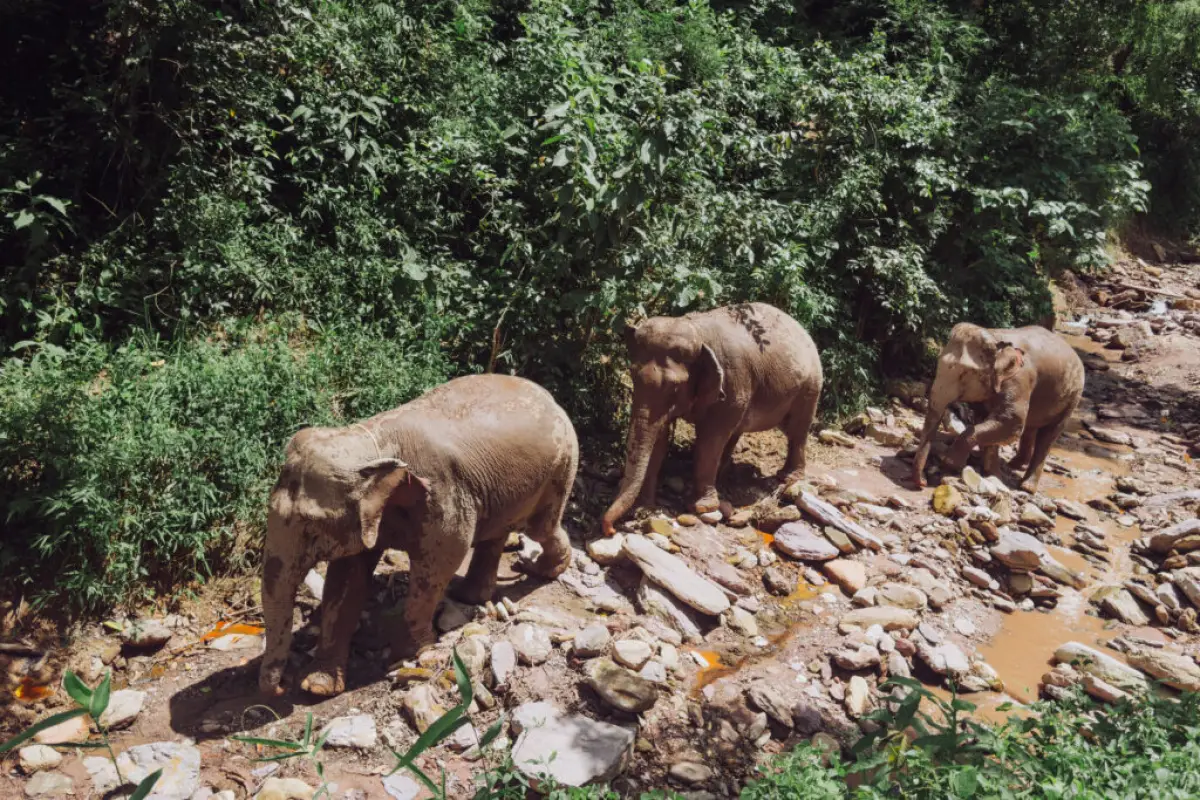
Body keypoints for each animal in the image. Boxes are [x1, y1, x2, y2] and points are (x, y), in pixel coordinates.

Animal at [259, 374, 578, 697]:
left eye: (311, 527)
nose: (282, 686)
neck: (370, 442)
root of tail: (548, 395)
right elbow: (346, 580)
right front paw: (318, 687)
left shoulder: (443, 497)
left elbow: (439, 563)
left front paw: (408, 655)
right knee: (496, 533)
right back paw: (470, 594)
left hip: (560, 466)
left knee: (540, 527)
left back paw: (543, 569)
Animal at [601, 302, 823, 535]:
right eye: (632, 376)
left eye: (674, 387)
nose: (611, 530)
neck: (696, 332)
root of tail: (801, 329)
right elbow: (659, 438)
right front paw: (643, 507)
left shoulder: (733, 384)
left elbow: (710, 439)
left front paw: (703, 507)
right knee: (737, 430)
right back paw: (724, 471)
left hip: (809, 387)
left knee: (796, 430)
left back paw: (788, 477)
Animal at [911, 323, 1085, 493]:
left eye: (964, 374)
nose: (923, 483)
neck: (995, 337)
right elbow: (988, 419)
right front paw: (992, 474)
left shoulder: (1019, 381)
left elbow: (1011, 424)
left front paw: (951, 463)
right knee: (1030, 428)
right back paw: (1014, 465)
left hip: (1072, 399)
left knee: (1048, 436)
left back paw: (1027, 487)